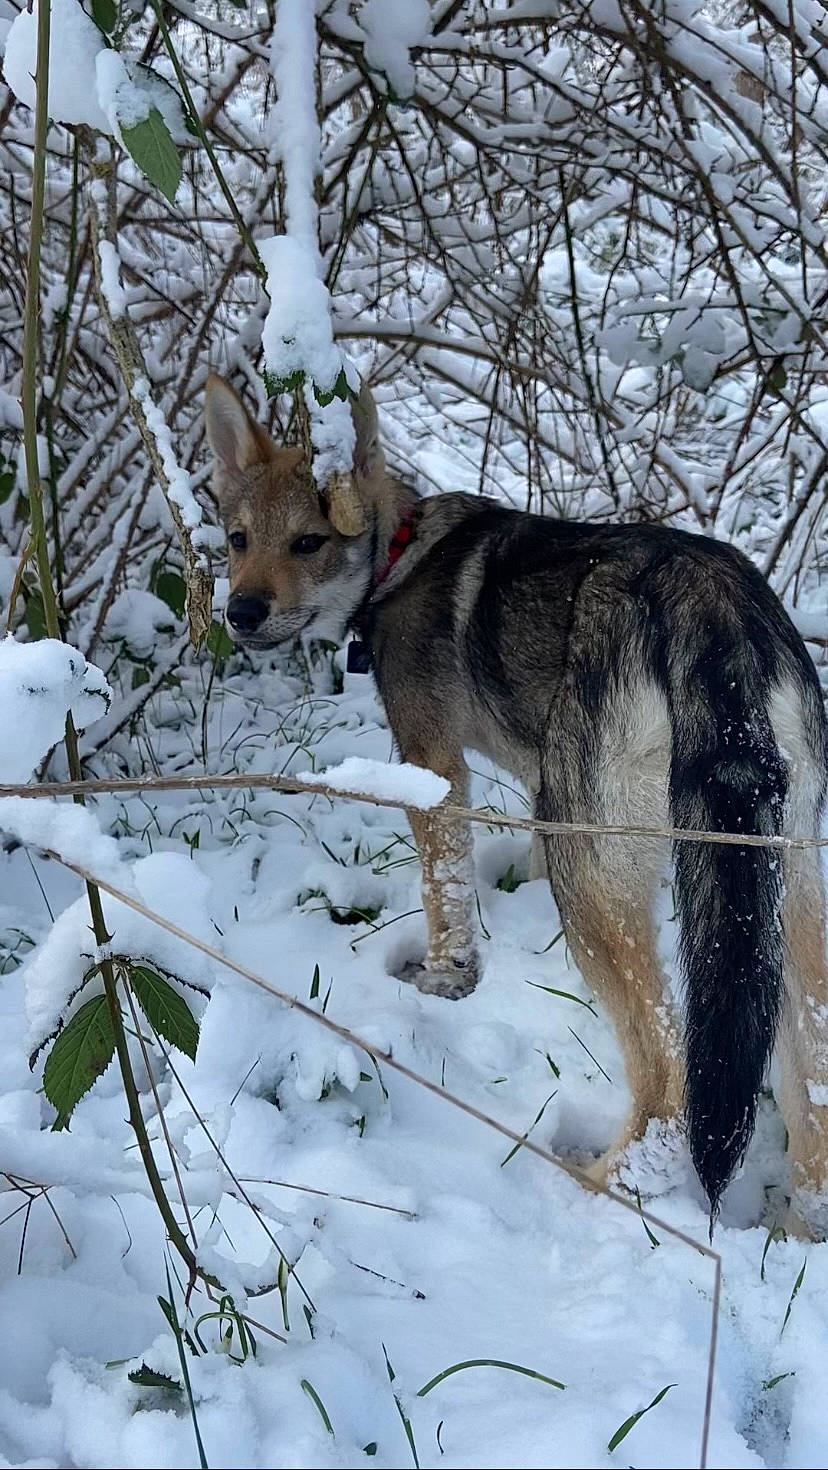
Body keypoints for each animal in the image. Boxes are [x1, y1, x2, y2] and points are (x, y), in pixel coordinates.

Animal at [205, 371, 828, 1230]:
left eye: (309, 542)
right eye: (236, 539)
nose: (241, 613)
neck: (400, 556)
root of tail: (711, 599)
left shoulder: (435, 767)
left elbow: (444, 890)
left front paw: (446, 978)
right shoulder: (539, 783)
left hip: (598, 880)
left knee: (668, 1078)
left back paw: (600, 1189)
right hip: (778, 883)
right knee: (810, 1084)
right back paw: (796, 1227)